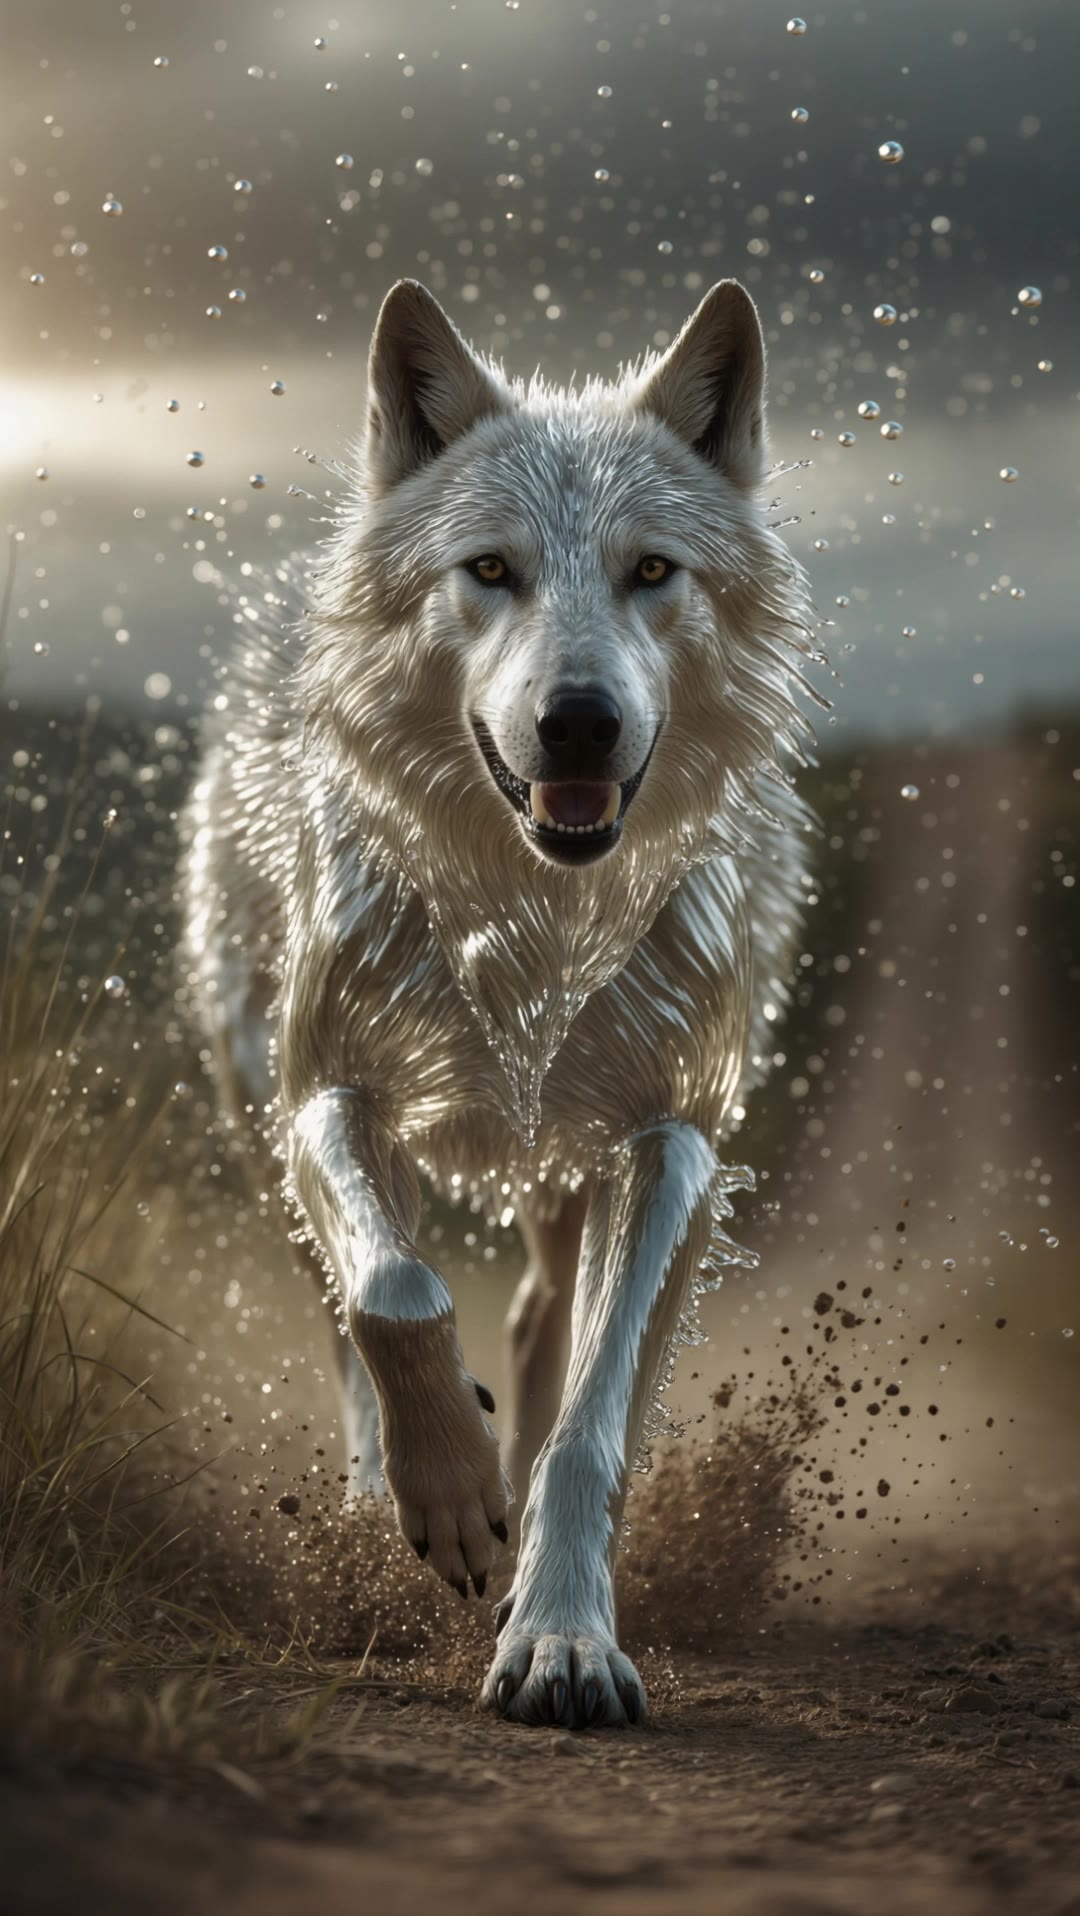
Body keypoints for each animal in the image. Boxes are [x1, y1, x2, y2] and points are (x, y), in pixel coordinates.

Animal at [180, 277, 817, 1729]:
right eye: (490, 571)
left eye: (652, 571)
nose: (578, 720)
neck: (534, 919)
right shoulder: (327, 1087)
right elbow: (394, 1290)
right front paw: (452, 1495)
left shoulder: (671, 1140)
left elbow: (592, 1423)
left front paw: (562, 1635)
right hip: (259, 1110)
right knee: (350, 1308)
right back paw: (398, 1498)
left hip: (574, 1169)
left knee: (541, 1320)